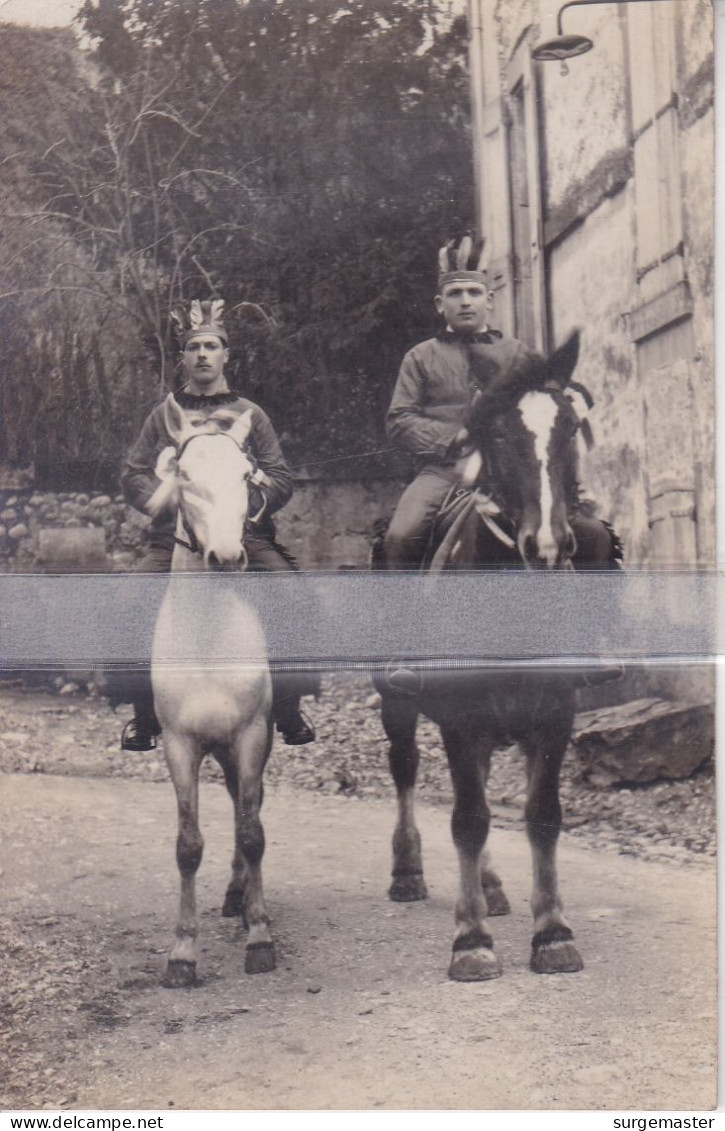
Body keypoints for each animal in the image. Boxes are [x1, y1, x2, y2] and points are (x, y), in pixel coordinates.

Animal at [375, 330, 601, 981]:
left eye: (570, 427)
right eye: (497, 434)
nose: (546, 545)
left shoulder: (554, 717)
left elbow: (542, 814)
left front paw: (552, 932)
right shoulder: (458, 719)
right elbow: (469, 820)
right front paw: (470, 940)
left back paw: (495, 888)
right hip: (398, 706)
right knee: (407, 769)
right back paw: (409, 871)